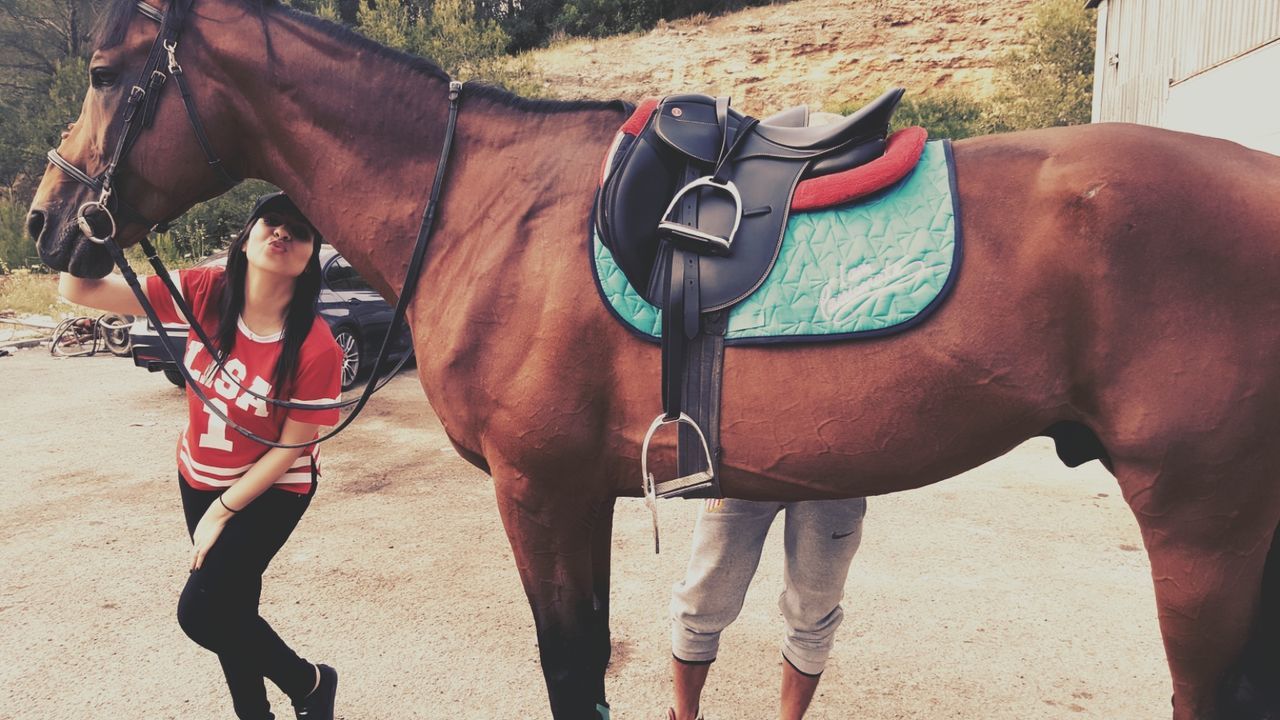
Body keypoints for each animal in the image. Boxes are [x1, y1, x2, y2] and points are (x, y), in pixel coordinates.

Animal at [24, 2, 1280, 712]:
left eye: (106, 72)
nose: (47, 222)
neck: (486, 205)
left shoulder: (537, 492)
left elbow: (569, 669)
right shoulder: (581, 494)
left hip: (1202, 527)